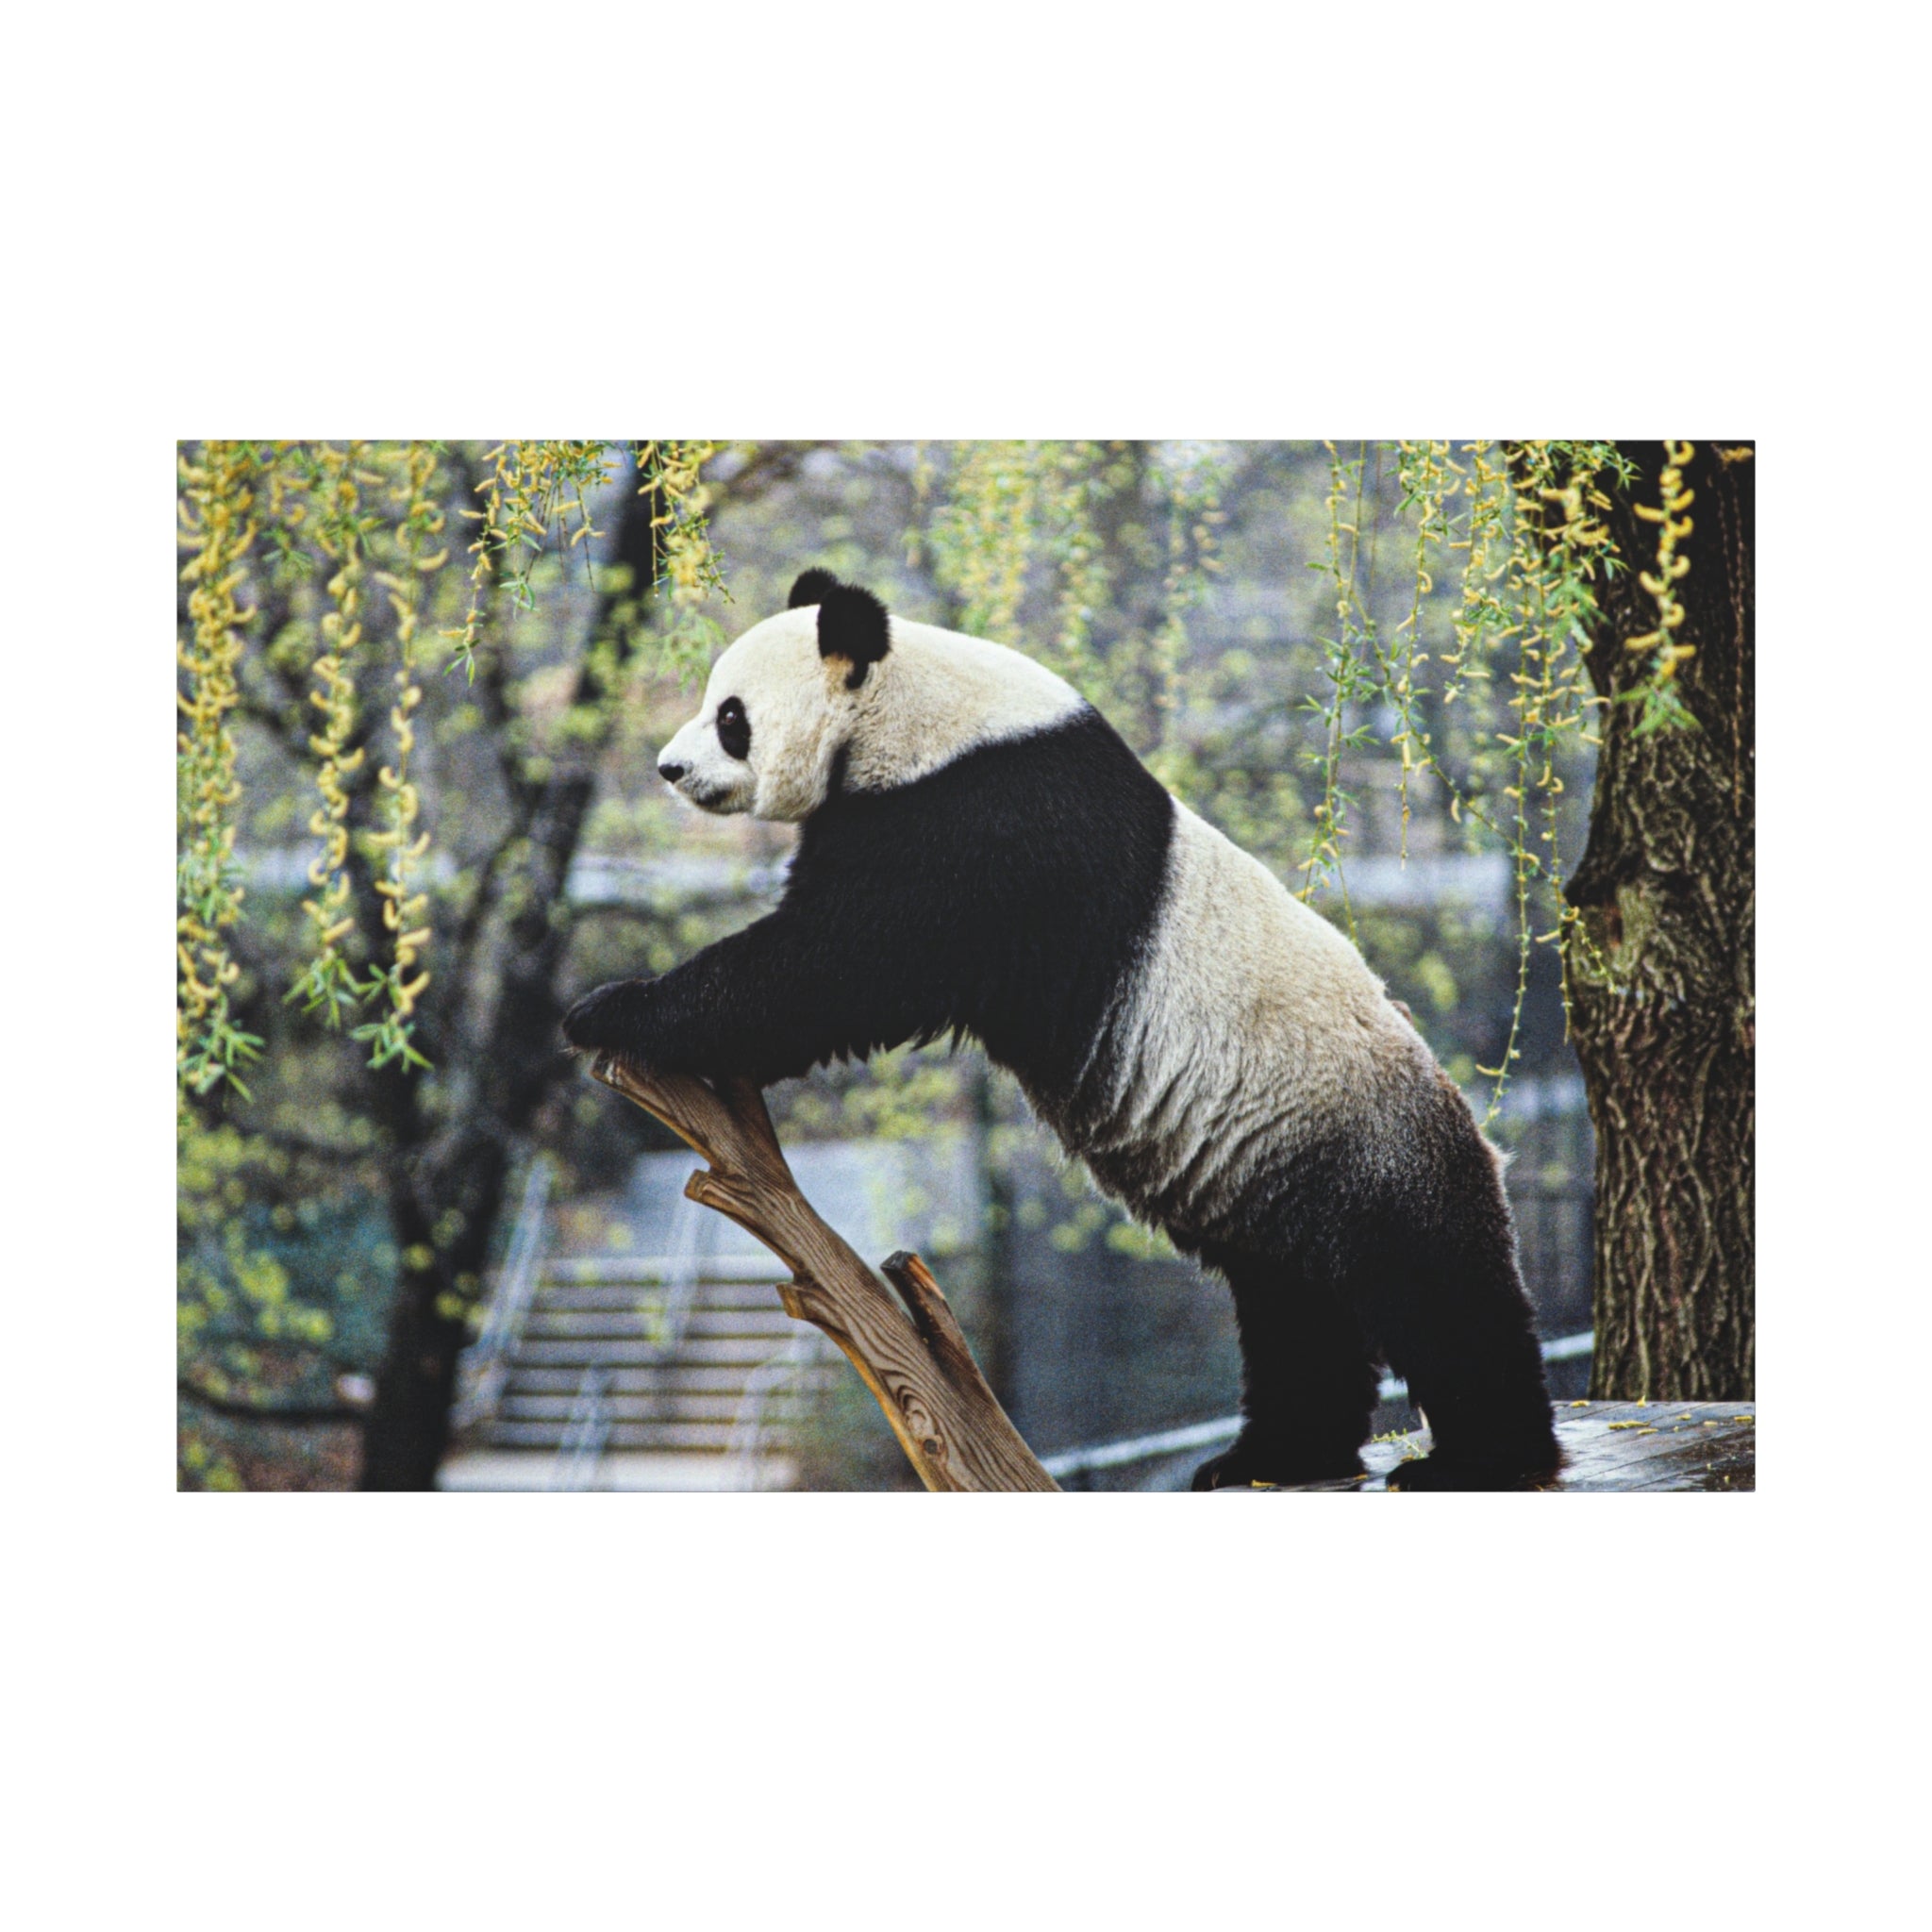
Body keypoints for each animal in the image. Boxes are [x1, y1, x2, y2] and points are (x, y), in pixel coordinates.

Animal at [564, 568, 1559, 1490]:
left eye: (731, 715)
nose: (669, 769)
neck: (915, 711)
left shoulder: (982, 821)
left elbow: (836, 965)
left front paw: (612, 1009)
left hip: (1363, 1144)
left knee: (1435, 1292)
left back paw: (1482, 1458)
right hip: (1276, 1175)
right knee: (1294, 1310)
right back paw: (1270, 1455)